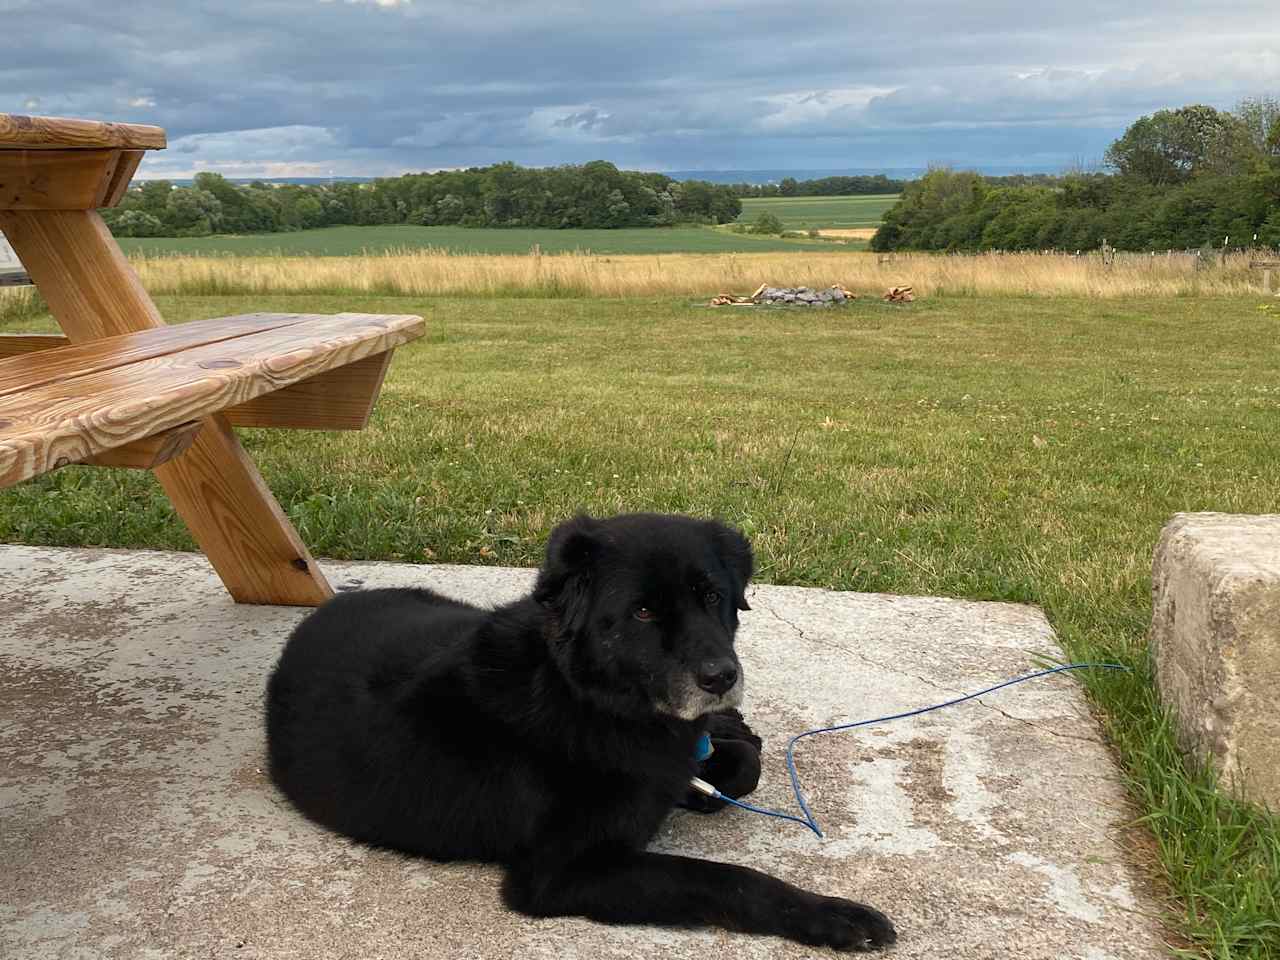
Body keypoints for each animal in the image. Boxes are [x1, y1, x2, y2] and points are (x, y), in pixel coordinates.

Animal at [264, 514, 896, 952]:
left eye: (713, 597)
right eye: (642, 612)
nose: (722, 679)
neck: (586, 695)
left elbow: (739, 768)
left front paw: (712, 764)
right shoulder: (564, 873)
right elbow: (728, 881)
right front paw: (832, 916)